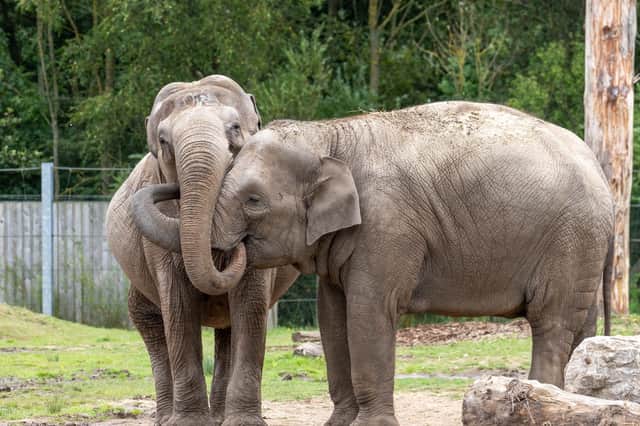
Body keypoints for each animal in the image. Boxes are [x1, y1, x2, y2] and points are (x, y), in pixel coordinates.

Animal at [105, 75, 298, 426]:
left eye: (235, 128)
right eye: (163, 141)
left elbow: (250, 305)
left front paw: (245, 423)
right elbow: (178, 306)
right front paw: (188, 423)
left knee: (228, 329)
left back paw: (220, 417)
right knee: (150, 321)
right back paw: (167, 418)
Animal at [135, 101, 614, 426]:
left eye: (253, 201)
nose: (234, 247)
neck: (328, 137)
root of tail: (601, 173)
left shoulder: (387, 226)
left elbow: (368, 311)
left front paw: (370, 424)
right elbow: (332, 315)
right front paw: (339, 423)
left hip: (570, 240)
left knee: (551, 323)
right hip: (582, 247)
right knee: (582, 326)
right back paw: (578, 405)